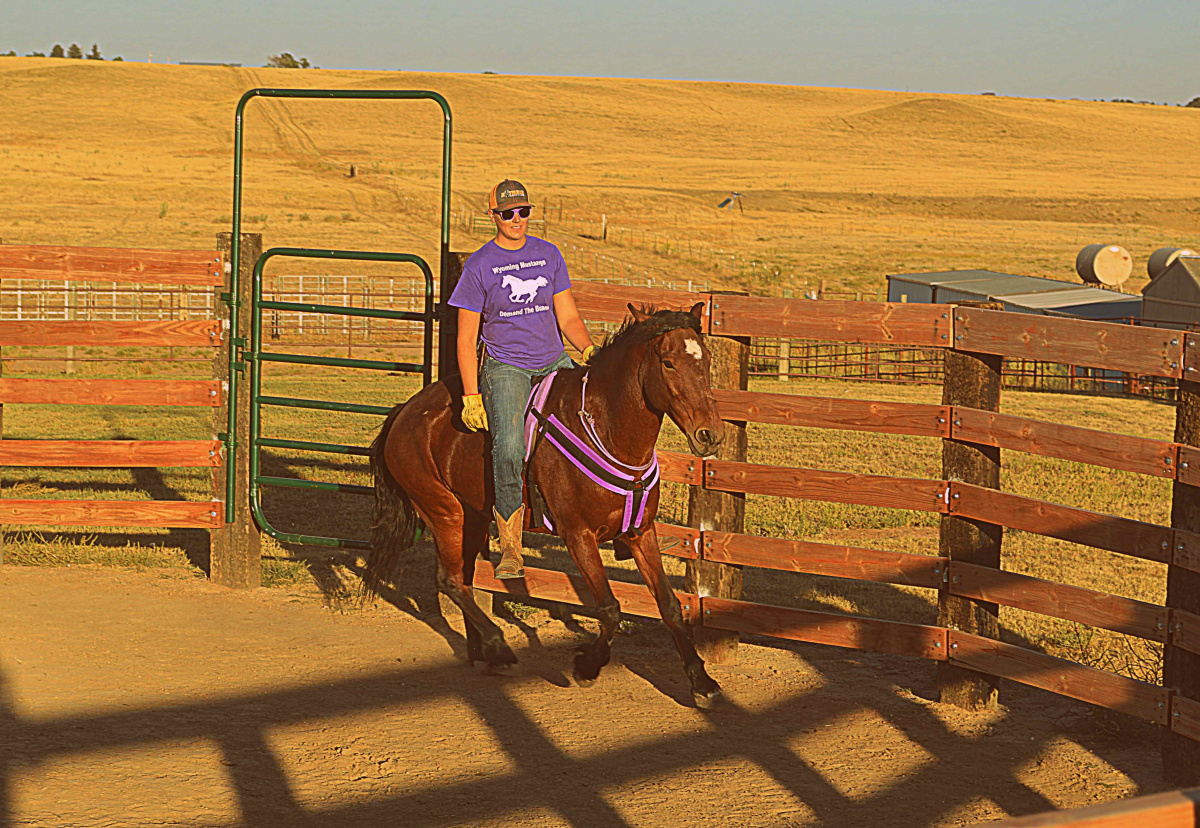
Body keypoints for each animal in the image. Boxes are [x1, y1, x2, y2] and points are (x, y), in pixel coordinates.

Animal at [362, 301, 720, 700]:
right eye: (668, 362)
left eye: (706, 360)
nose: (709, 434)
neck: (605, 427)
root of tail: (405, 412)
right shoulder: (578, 535)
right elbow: (610, 608)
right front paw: (587, 666)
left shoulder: (641, 532)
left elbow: (669, 605)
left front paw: (701, 681)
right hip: (443, 512)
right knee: (451, 580)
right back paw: (498, 646)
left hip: (472, 516)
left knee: (465, 579)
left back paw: (485, 653)